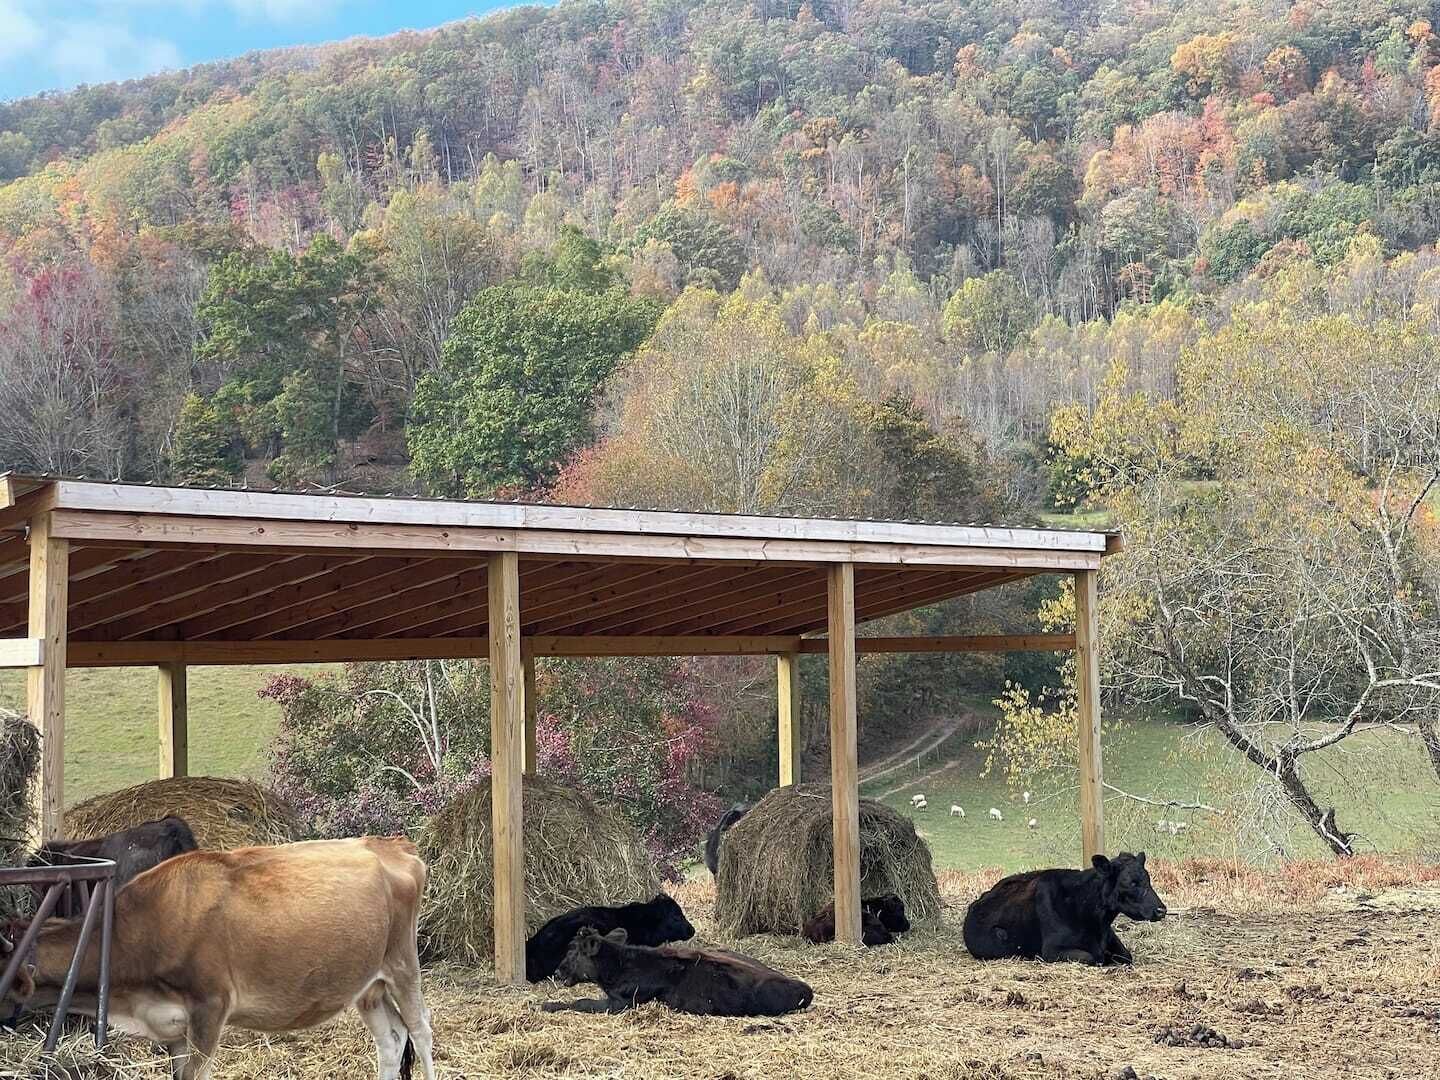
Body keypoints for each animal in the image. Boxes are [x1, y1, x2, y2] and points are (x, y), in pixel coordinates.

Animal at [3, 837, 435, 1080]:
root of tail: (391, 843)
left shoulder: (209, 1009)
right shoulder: (173, 1027)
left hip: (403, 965)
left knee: (420, 1032)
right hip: (368, 985)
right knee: (391, 1040)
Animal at [541, 928, 813, 1017]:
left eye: (572, 950)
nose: (556, 970)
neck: (620, 964)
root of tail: (802, 987)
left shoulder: (622, 1002)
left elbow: (582, 1002)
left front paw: (547, 1005)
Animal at [962, 852, 1167, 965]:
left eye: (1148, 879)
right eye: (1131, 883)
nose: (1161, 910)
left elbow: (1126, 956)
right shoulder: (1052, 950)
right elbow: (1091, 958)